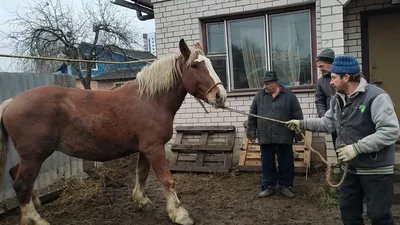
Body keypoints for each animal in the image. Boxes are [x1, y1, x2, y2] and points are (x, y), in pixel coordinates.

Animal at [0, 39, 227, 225]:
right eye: (195, 65)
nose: (220, 96)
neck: (150, 99)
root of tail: (12, 101)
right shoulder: (154, 147)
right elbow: (166, 179)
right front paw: (179, 214)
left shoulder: (145, 148)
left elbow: (141, 173)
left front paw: (141, 200)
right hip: (34, 156)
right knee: (21, 184)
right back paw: (35, 219)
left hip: (31, 156)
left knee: (16, 175)